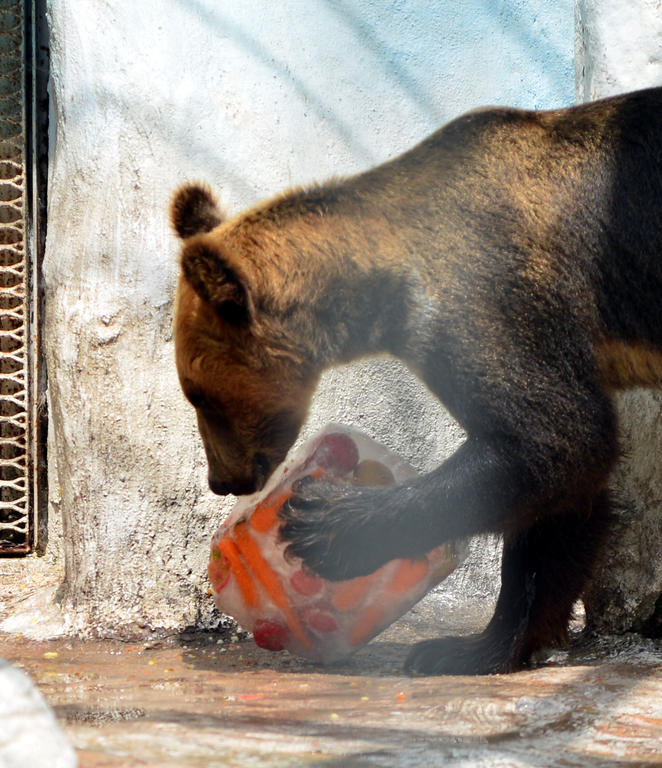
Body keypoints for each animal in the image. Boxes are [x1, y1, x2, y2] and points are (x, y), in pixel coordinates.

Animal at [170, 85, 662, 672]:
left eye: (199, 396)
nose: (222, 479)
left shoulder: (487, 298)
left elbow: (557, 438)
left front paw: (323, 523)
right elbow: (568, 498)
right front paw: (490, 643)